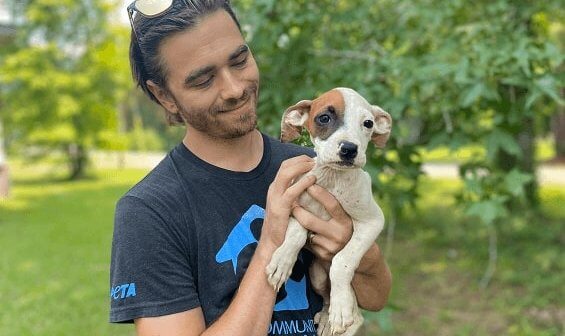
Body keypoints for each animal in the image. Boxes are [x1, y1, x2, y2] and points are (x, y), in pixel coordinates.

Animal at [266, 87, 390, 336]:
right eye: (324, 118)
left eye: (368, 123)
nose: (349, 149)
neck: (332, 180)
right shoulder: (296, 207)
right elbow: (295, 235)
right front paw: (282, 261)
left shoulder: (372, 221)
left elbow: (343, 260)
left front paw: (341, 309)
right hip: (316, 275)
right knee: (326, 297)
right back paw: (326, 317)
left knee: (356, 312)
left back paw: (341, 313)